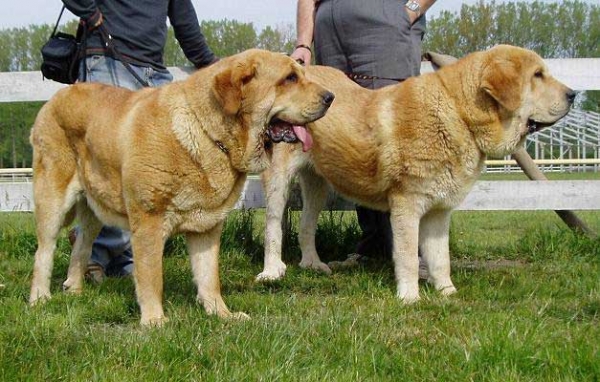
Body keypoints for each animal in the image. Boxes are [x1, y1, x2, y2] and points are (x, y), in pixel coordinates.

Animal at [30, 48, 336, 326]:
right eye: (289, 78)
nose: (331, 97)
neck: (209, 133)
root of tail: (55, 98)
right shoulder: (149, 222)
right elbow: (152, 276)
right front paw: (155, 321)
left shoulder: (207, 226)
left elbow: (209, 276)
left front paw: (222, 314)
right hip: (52, 200)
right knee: (44, 251)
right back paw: (40, 298)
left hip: (95, 207)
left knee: (81, 243)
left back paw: (74, 290)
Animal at [258, 44, 576, 302]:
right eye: (537, 75)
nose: (573, 94)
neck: (459, 113)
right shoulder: (407, 204)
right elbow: (409, 255)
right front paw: (409, 297)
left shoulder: (438, 211)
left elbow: (440, 258)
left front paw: (447, 293)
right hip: (278, 181)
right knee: (273, 226)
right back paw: (272, 272)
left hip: (317, 185)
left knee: (306, 225)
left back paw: (313, 264)